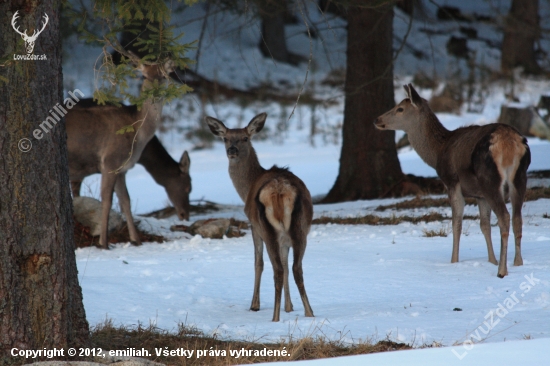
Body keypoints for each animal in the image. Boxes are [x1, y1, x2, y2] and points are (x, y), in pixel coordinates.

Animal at [66, 59, 176, 249]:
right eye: (144, 76)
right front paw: (103, 242)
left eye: (163, 75)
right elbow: (107, 200)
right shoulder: (110, 161)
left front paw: (136, 240)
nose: (154, 91)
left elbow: (126, 201)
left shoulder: (122, 168)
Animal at [206, 113, 314, 322]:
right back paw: (310, 313)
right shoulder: (284, 237)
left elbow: (258, 263)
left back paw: (275, 317)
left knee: (277, 269)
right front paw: (289, 307)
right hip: (300, 227)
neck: (247, 186)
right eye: (225, 138)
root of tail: (280, 191)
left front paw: (254, 305)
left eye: (245, 138)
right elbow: (286, 263)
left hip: (266, 227)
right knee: (296, 268)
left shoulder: (253, 225)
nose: (232, 150)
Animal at [376, 83, 532, 278]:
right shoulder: (479, 195)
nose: (377, 119)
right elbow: (484, 225)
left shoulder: (452, 181)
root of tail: (510, 143)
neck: (437, 153)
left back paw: (502, 270)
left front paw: (454, 261)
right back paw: (518, 263)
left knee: (505, 217)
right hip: (520, 177)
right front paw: (491, 260)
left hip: (489, 178)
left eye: (400, 109)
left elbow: (456, 223)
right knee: (518, 219)